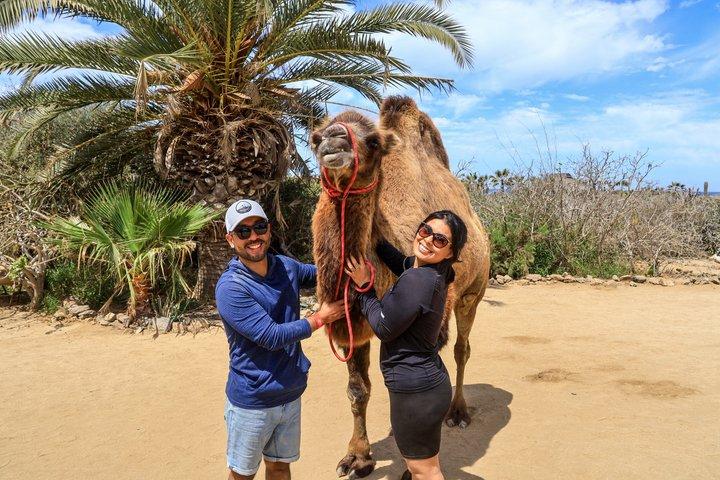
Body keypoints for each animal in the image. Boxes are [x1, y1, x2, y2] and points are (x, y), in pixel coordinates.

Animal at [310, 96, 490, 478]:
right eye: (316, 138)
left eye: (373, 142)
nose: (334, 140)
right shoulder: (353, 327)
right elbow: (357, 390)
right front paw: (357, 458)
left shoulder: (433, 323)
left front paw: (410, 464)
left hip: (473, 294)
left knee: (462, 349)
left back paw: (458, 412)